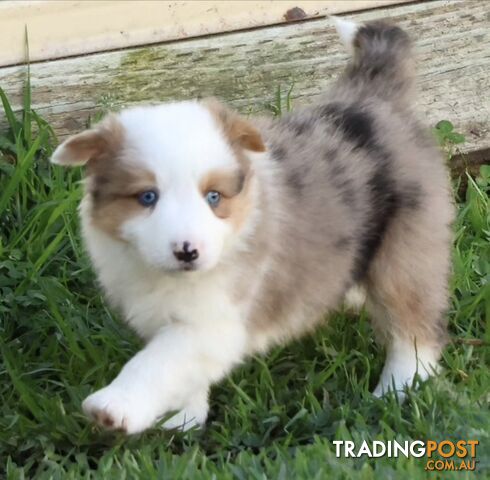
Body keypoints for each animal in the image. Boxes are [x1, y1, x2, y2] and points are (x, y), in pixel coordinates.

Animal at [51, 18, 454, 434]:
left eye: (213, 197)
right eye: (148, 197)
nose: (187, 252)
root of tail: (373, 97)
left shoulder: (214, 321)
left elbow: (159, 362)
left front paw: (115, 407)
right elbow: (183, 373)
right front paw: (183, 421)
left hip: (407, 250)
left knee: (413, 326)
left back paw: (399, 388)